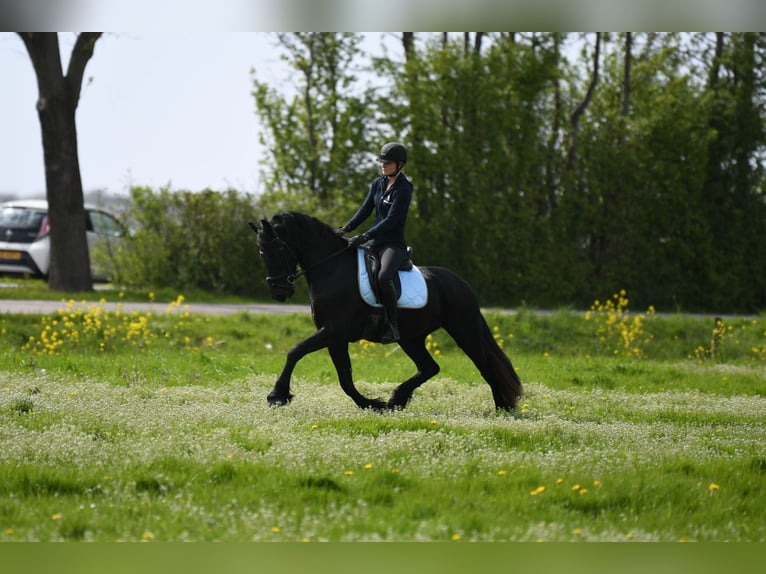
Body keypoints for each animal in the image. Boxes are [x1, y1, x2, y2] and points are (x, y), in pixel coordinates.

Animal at [250, 211, 523, 411]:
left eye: (275, 250)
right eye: (260, 253)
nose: (279, 292)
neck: (331, 269)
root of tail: (462, 284)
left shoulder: (334, 331)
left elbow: (295, 352)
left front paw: (277, 395)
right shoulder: (335, 337)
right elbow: (344, 378)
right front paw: (373, 404)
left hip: (464, 331)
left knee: (485, 365)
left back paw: (503, 408)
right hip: (411, 338)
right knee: (430, 367)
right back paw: (397, 399)